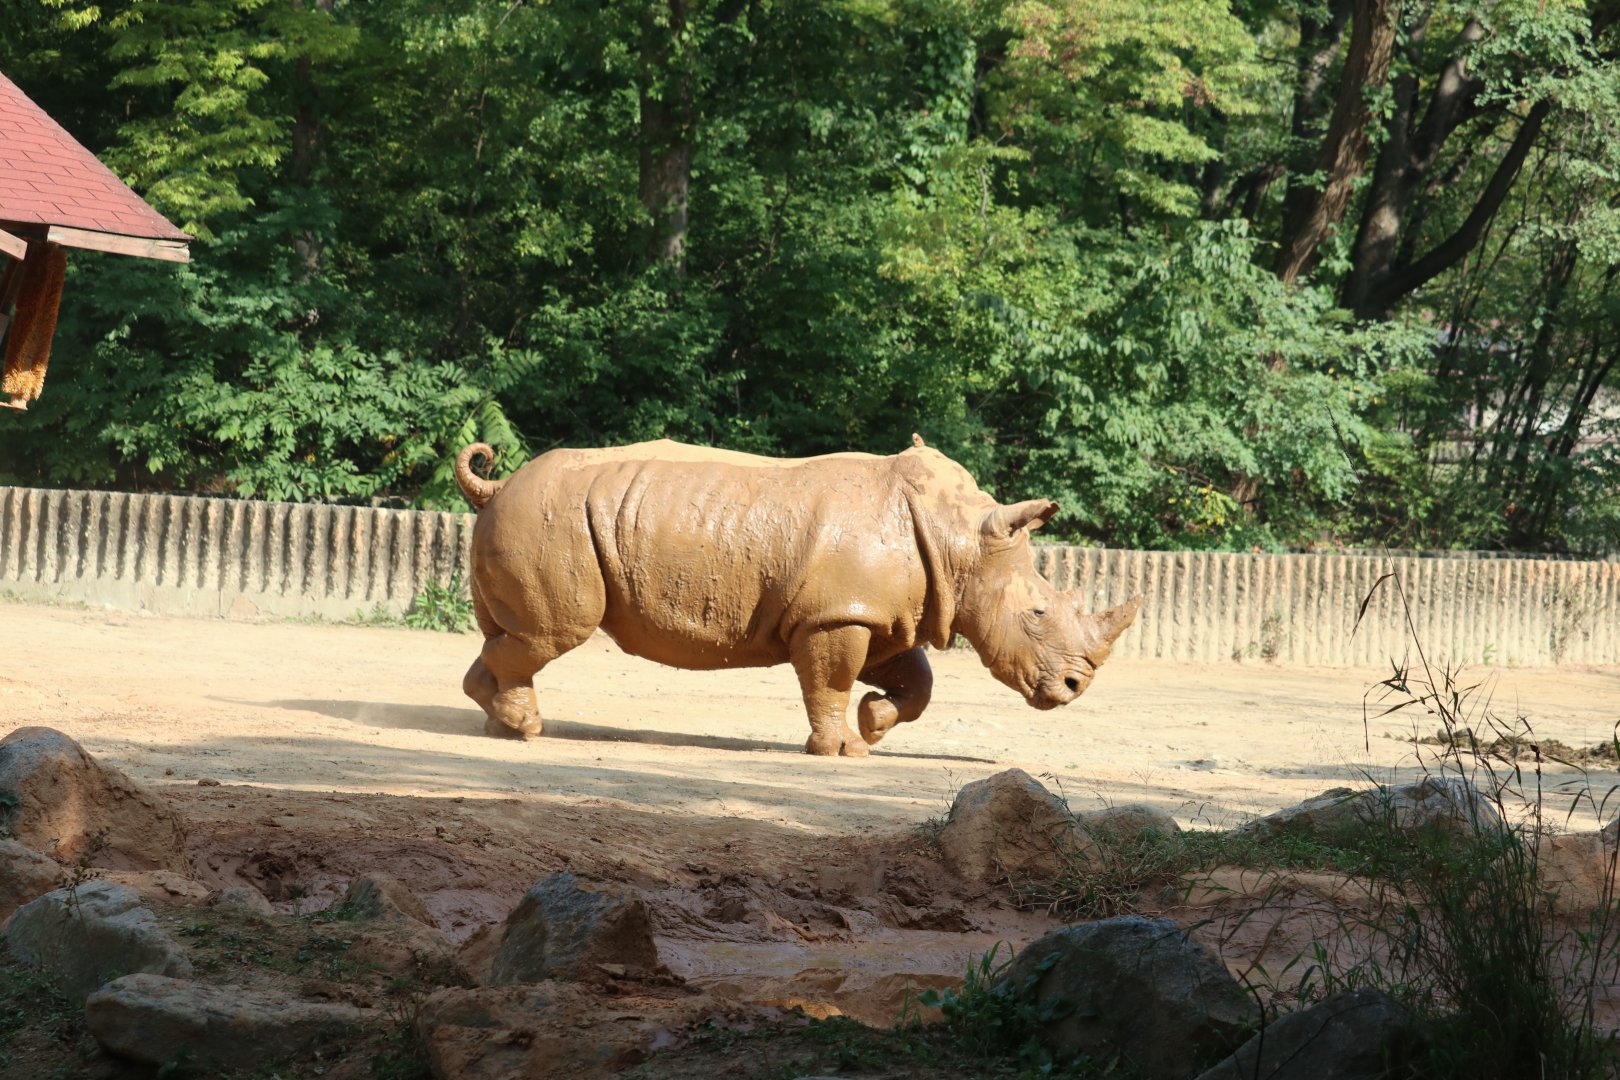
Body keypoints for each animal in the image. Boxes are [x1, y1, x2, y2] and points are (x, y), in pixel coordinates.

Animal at [453, 435, 1140, 756]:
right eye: (1038, 613)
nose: (1076, 687)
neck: (961, 542)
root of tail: (497, 486)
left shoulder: (878, 614)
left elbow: (916, 682)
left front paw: (874, 722)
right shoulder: (834, 617)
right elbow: (830, 682)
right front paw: (844, 749)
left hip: (535, 517)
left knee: (511, 635)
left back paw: (498, 724)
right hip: (548, 521)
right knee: (554, 632)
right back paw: (528, 728)